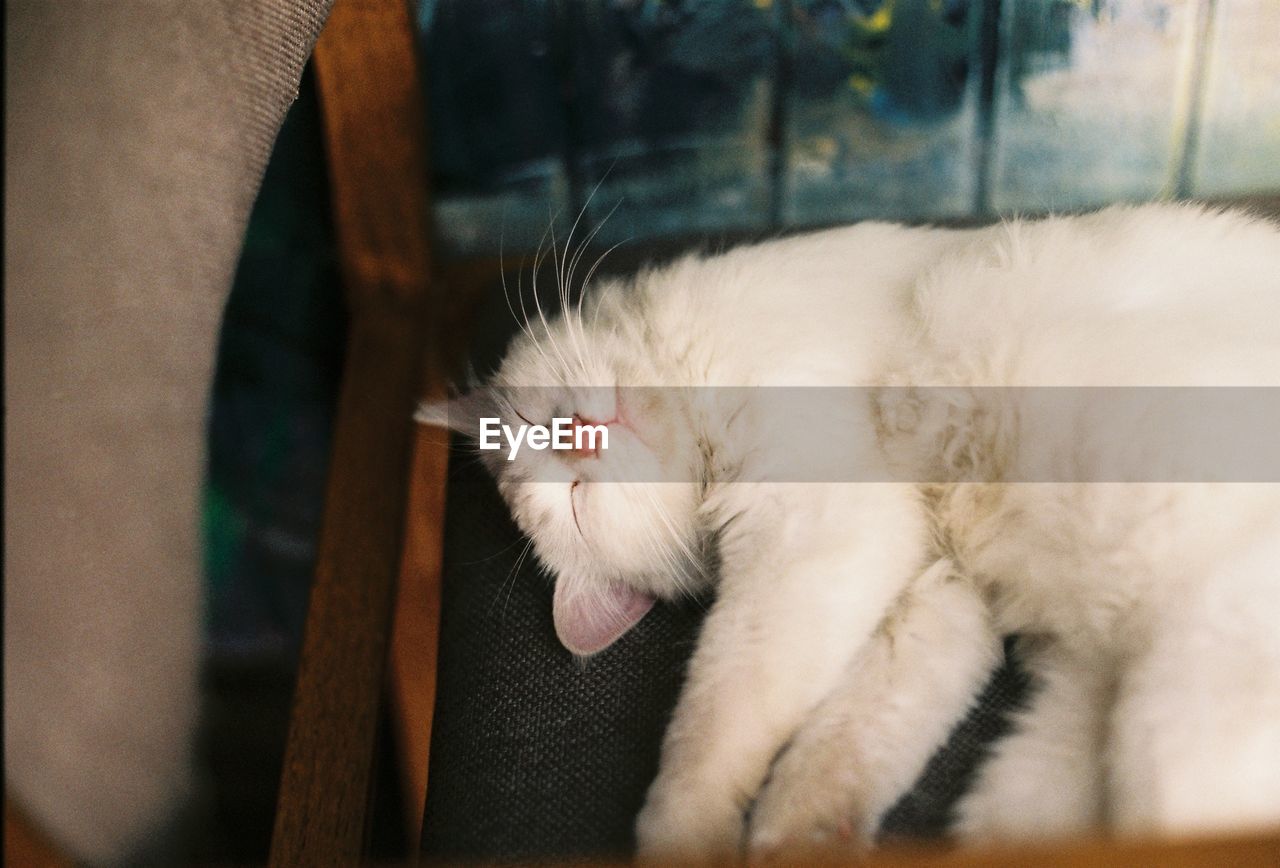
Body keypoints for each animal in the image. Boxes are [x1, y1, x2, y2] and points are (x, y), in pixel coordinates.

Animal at [422, 206, 1280, 865]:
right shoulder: (931, 581)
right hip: (1073, 737)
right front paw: (799, 831)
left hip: (1175, 706)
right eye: (576, 502)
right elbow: (851, 725)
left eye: (545, 437)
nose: (583, 440)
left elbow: (717, 713)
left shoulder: (817, 526)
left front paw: (681, 830)